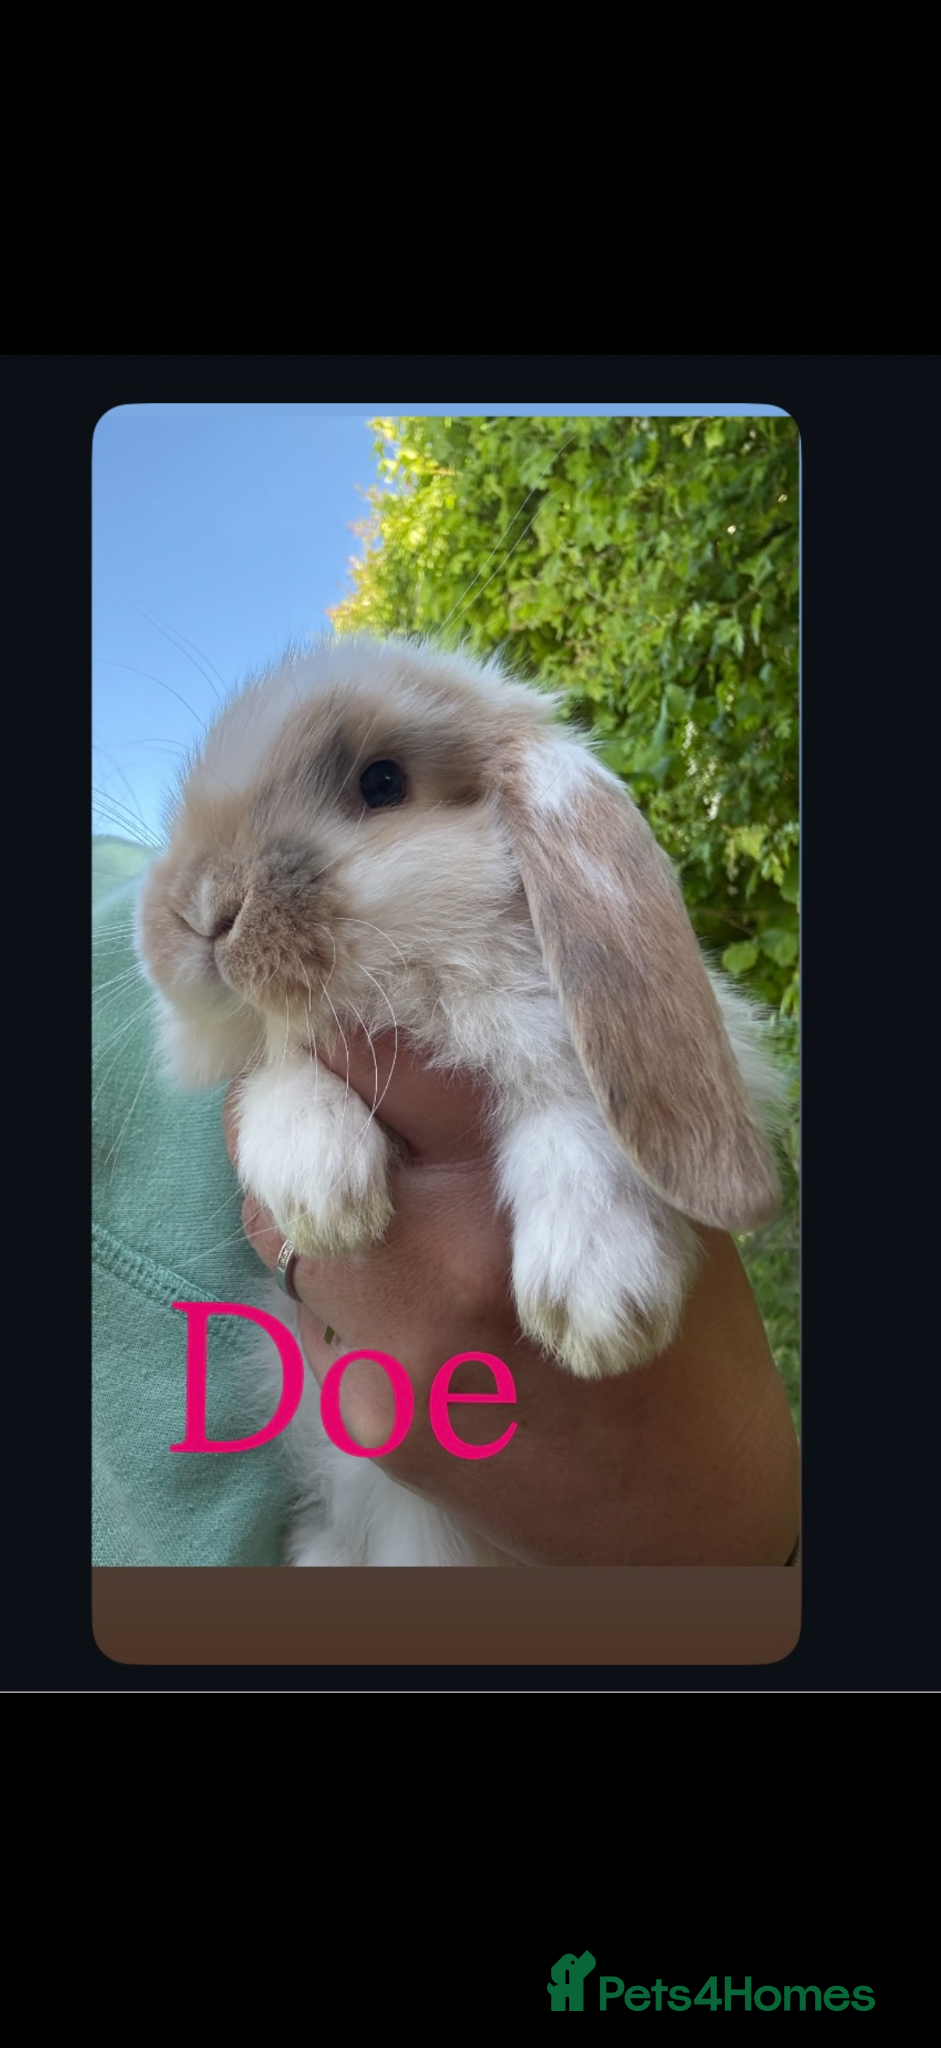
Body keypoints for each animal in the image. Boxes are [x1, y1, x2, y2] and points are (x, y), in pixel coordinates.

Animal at [136, 633, 784, 1565]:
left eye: (382, 783)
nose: (203, 909)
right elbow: (283, 1066)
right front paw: (324, 1196)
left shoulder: (573, 1045)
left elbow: (571, 1110)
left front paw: (598, 1305)